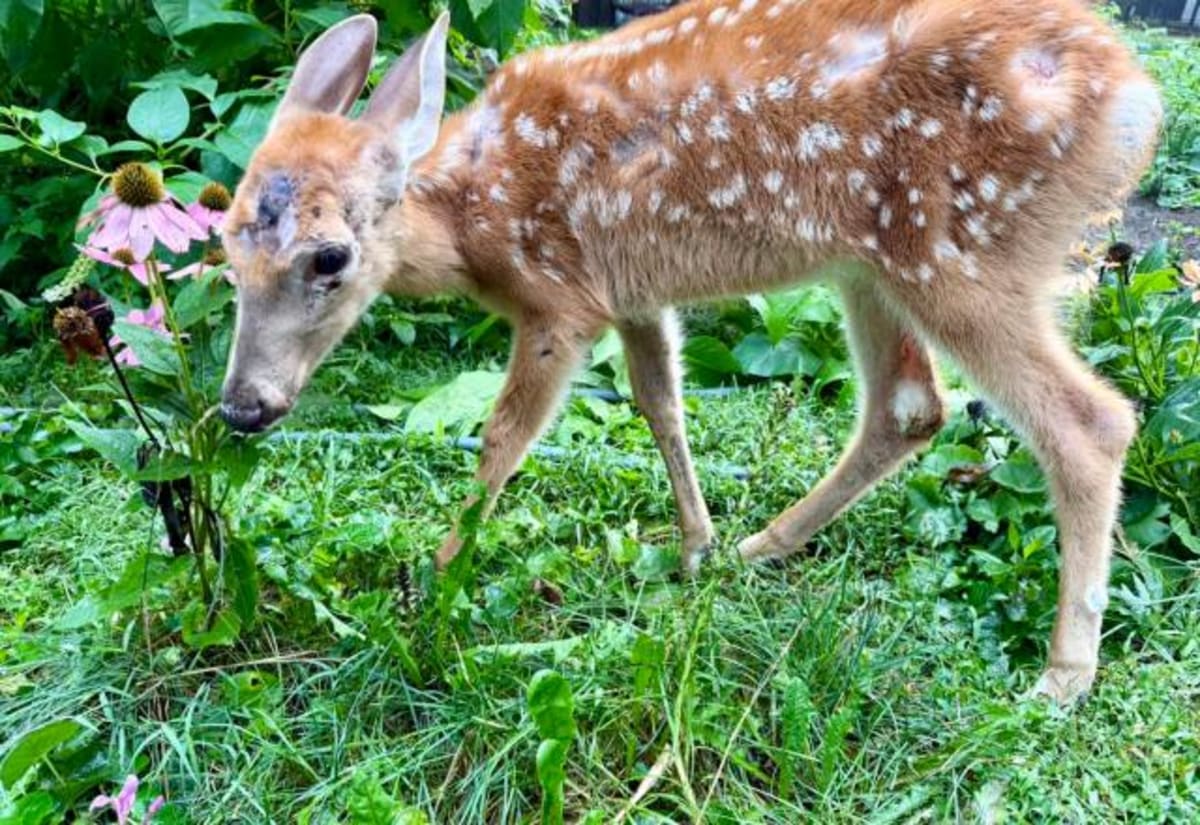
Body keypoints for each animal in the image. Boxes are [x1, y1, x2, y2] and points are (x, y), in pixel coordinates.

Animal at [217, 0, 1163, 703]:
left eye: (330, 257)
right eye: (226, 240)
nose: (242, 406)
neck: (473, 215)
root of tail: (1134, 95)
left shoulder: (560, 298)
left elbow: (504, 436)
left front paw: (437, 582)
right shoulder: (631, 293)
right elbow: (659, 401)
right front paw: (696, 545)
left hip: (963, 247)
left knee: (1089, 422)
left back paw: (1063, 677)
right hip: (874, 263)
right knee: (909, 407)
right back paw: (757, 548)